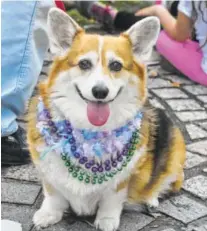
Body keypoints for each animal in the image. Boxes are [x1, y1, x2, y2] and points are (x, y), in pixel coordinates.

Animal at [27, 8, 186, 231]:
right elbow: (53, 195)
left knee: (170, 178)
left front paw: (107, 220)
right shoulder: (48, 174)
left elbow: (112, 199)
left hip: (175, 157)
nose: (100, 92)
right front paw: (48, 214)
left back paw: (152, 198)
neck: (90, 133)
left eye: (116, 65)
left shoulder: (121, 182)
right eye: (84, 63)